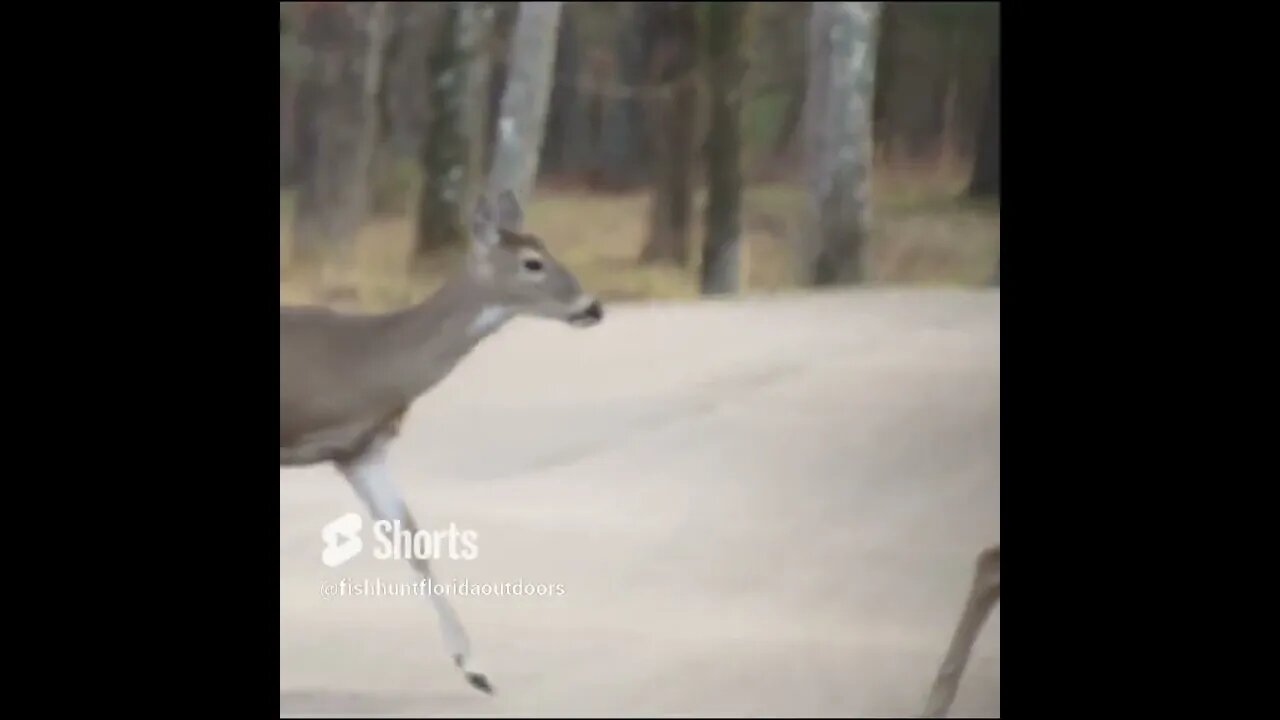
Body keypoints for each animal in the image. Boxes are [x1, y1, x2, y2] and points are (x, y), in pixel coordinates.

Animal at [280, 189, 604, 695]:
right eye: (532, 263)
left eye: (545, 249)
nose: (592, 307)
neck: (363, 360)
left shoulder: (361, 450)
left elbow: (412, 539)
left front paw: (475, 668)